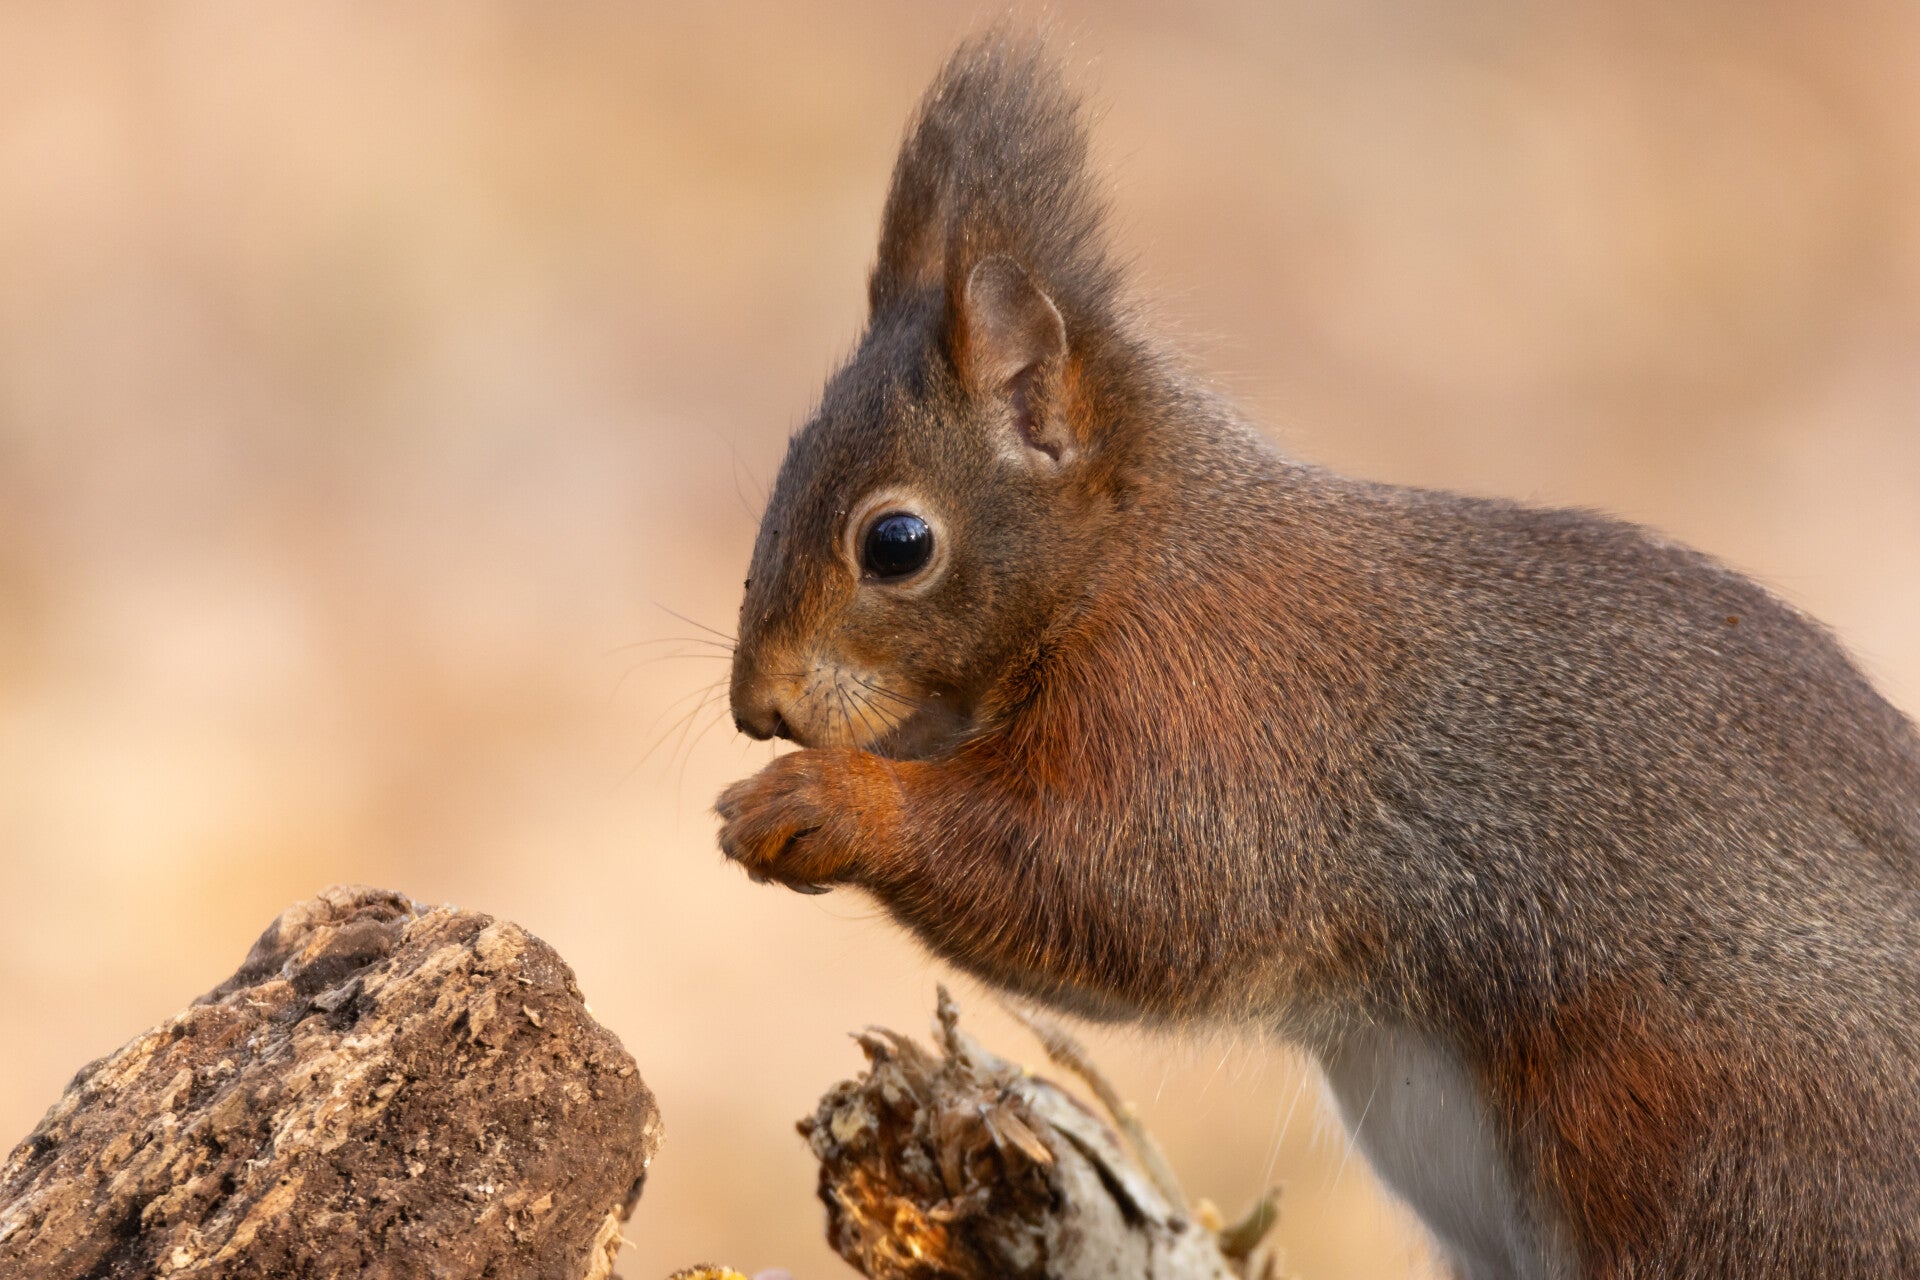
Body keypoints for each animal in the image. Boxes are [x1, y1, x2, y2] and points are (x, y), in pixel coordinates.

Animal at [715, 35, 1920, 1280]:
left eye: (896, 543)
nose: (758, 706)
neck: (1134, 558)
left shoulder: (1221, 718)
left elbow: (1119, 884)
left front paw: (824, 800)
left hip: (1700, 1132)